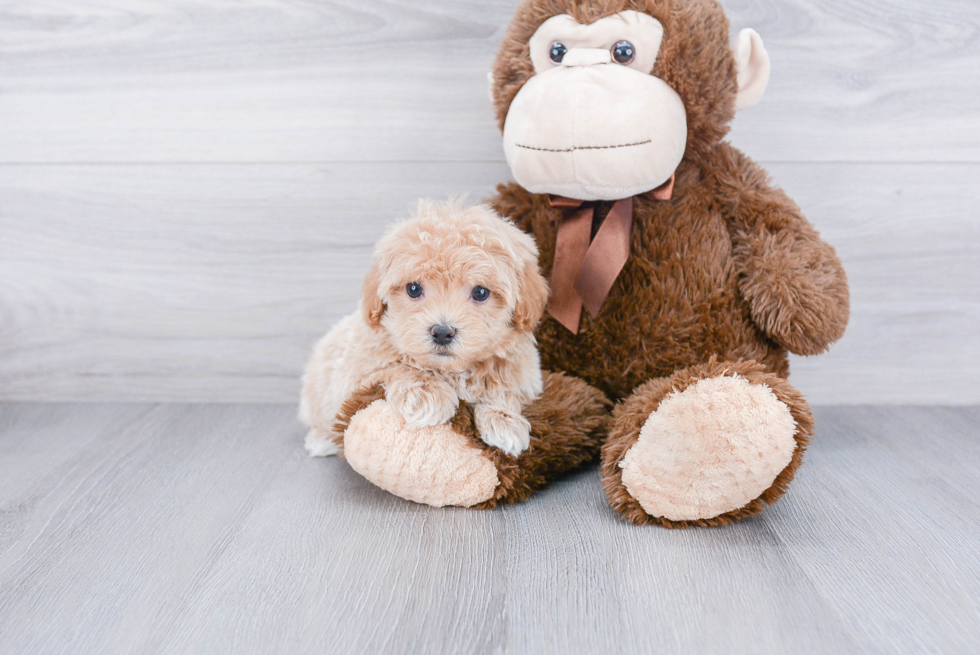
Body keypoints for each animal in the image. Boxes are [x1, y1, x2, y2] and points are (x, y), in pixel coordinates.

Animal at [296, 197, 552, 458]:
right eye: (414, 289)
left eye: (480, 292)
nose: (442, 332)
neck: (451, 371)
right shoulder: (357, 371)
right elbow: (396, 365)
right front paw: (425, 392)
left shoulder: (525, 374)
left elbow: (504, 387)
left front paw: (504, 420)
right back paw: (321, 440)